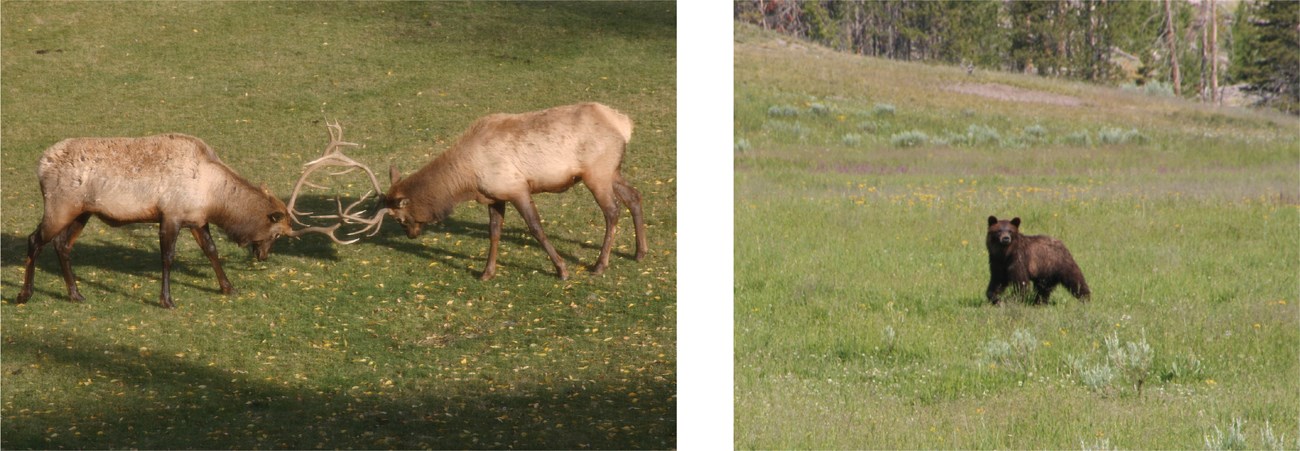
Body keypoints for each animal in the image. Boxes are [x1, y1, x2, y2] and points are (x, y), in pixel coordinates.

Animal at [16, 130, 361, 308]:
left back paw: (75, 293)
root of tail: (40, 164)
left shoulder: (197, 219)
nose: (262, 256)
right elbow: (167, 257)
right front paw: (167, 300)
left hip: (83, 211)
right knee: (34, 240)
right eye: (277, 232)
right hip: (60, 205)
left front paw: (228, 287)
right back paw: (24, 294)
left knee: (62, 245)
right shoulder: (171, 214)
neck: (212, 195)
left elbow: (211, 250)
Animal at [345, 103, 650, 279]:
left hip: (596, 172)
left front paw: (561, 269)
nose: (411, 234)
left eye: (399, 217)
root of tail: (624, 124)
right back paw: (640, 252)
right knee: (635, 196)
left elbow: (536, 228)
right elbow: (494, 232)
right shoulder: (494, 196)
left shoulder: (516, 188)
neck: (467, 181)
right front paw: (486, 272)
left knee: (612, 211)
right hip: (611, 171)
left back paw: (600, 265)